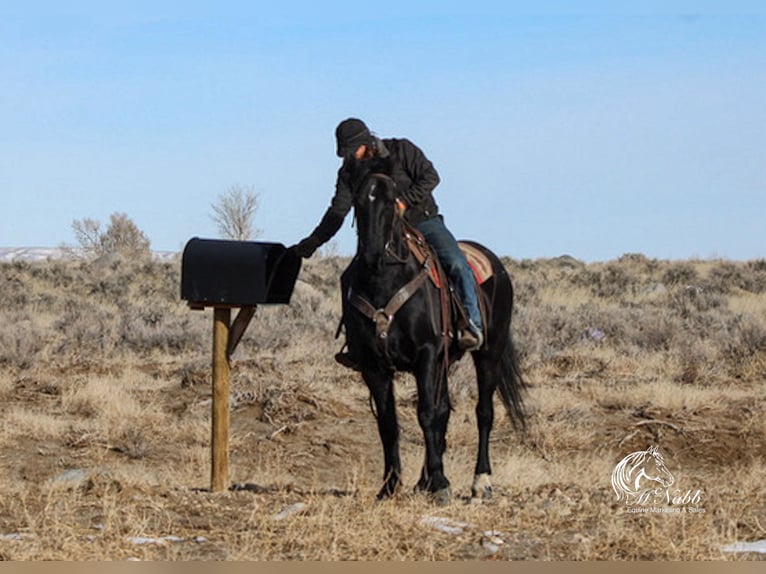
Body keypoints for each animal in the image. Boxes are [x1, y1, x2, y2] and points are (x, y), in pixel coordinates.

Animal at [342, 156, 528, 504]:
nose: (373, 255)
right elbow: (389, 423)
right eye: (358, 200)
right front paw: (391, 486)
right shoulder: (374, 366)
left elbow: (426, 414)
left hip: (489, 354)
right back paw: (423, 480)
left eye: (392, 199)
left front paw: (441, 483)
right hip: (447, 361)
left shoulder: (426, 355)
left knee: (483, 412)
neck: (384, 283)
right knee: (445, 410)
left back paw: (480, 481)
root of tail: (496, 265)